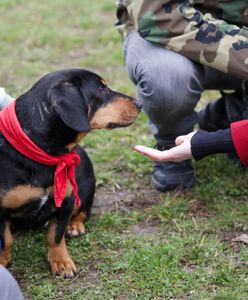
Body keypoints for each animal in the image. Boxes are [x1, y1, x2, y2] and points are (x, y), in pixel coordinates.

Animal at [0, 68, 140, 276]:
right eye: (100, 89)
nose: (140, 104)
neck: (43, 153)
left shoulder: (66, 201)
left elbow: (55, 236)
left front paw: (61, 262)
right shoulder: (0, 211)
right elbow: (6, 239)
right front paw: (2, 262)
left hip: (86, 187)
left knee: (83, 212)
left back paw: (74, 225)